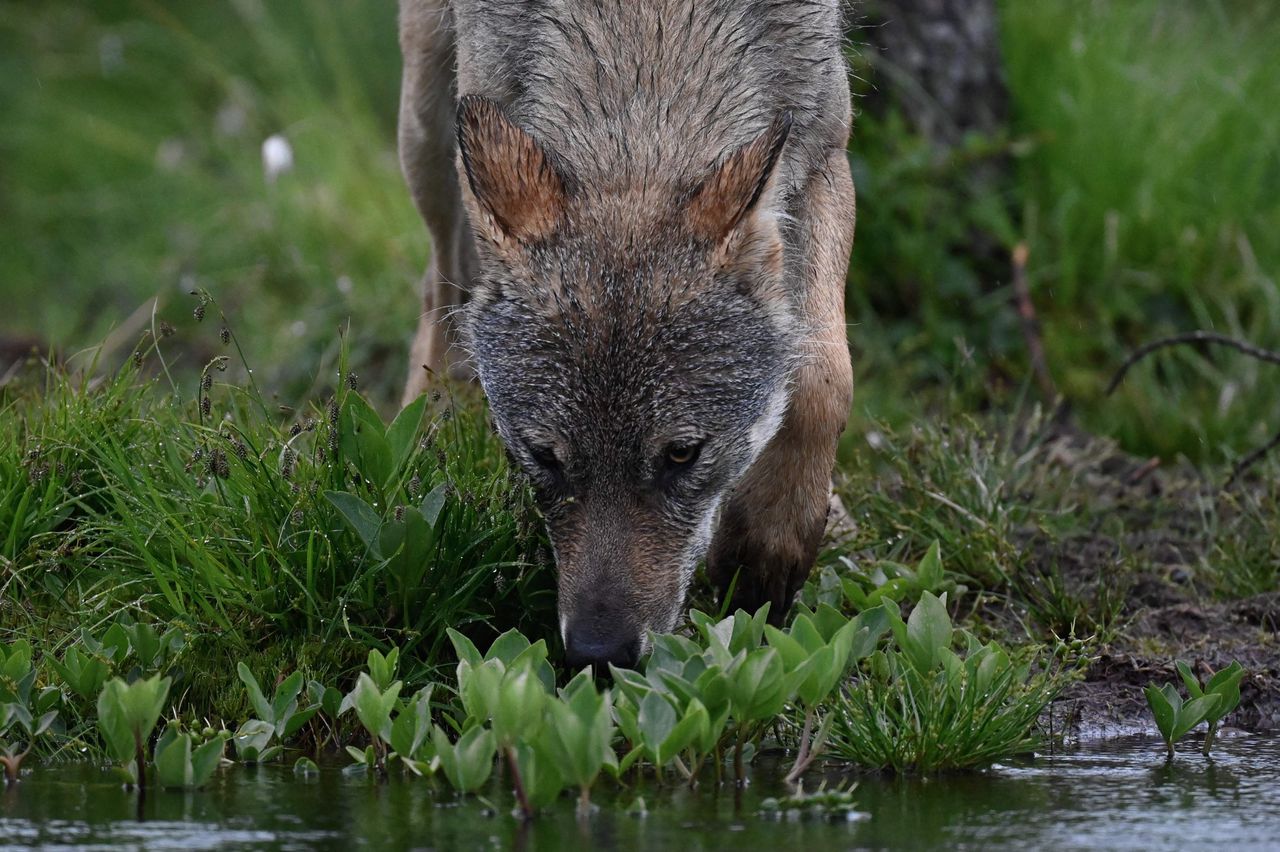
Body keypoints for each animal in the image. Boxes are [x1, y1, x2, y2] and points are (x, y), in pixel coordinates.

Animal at [396, 0, 860, 665]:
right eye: (544, 456)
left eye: (682, 454)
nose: (598, 653)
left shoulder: (825, 149)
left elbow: (822, 381)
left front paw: (767, 547)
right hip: (429, 123)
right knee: (441, 289)